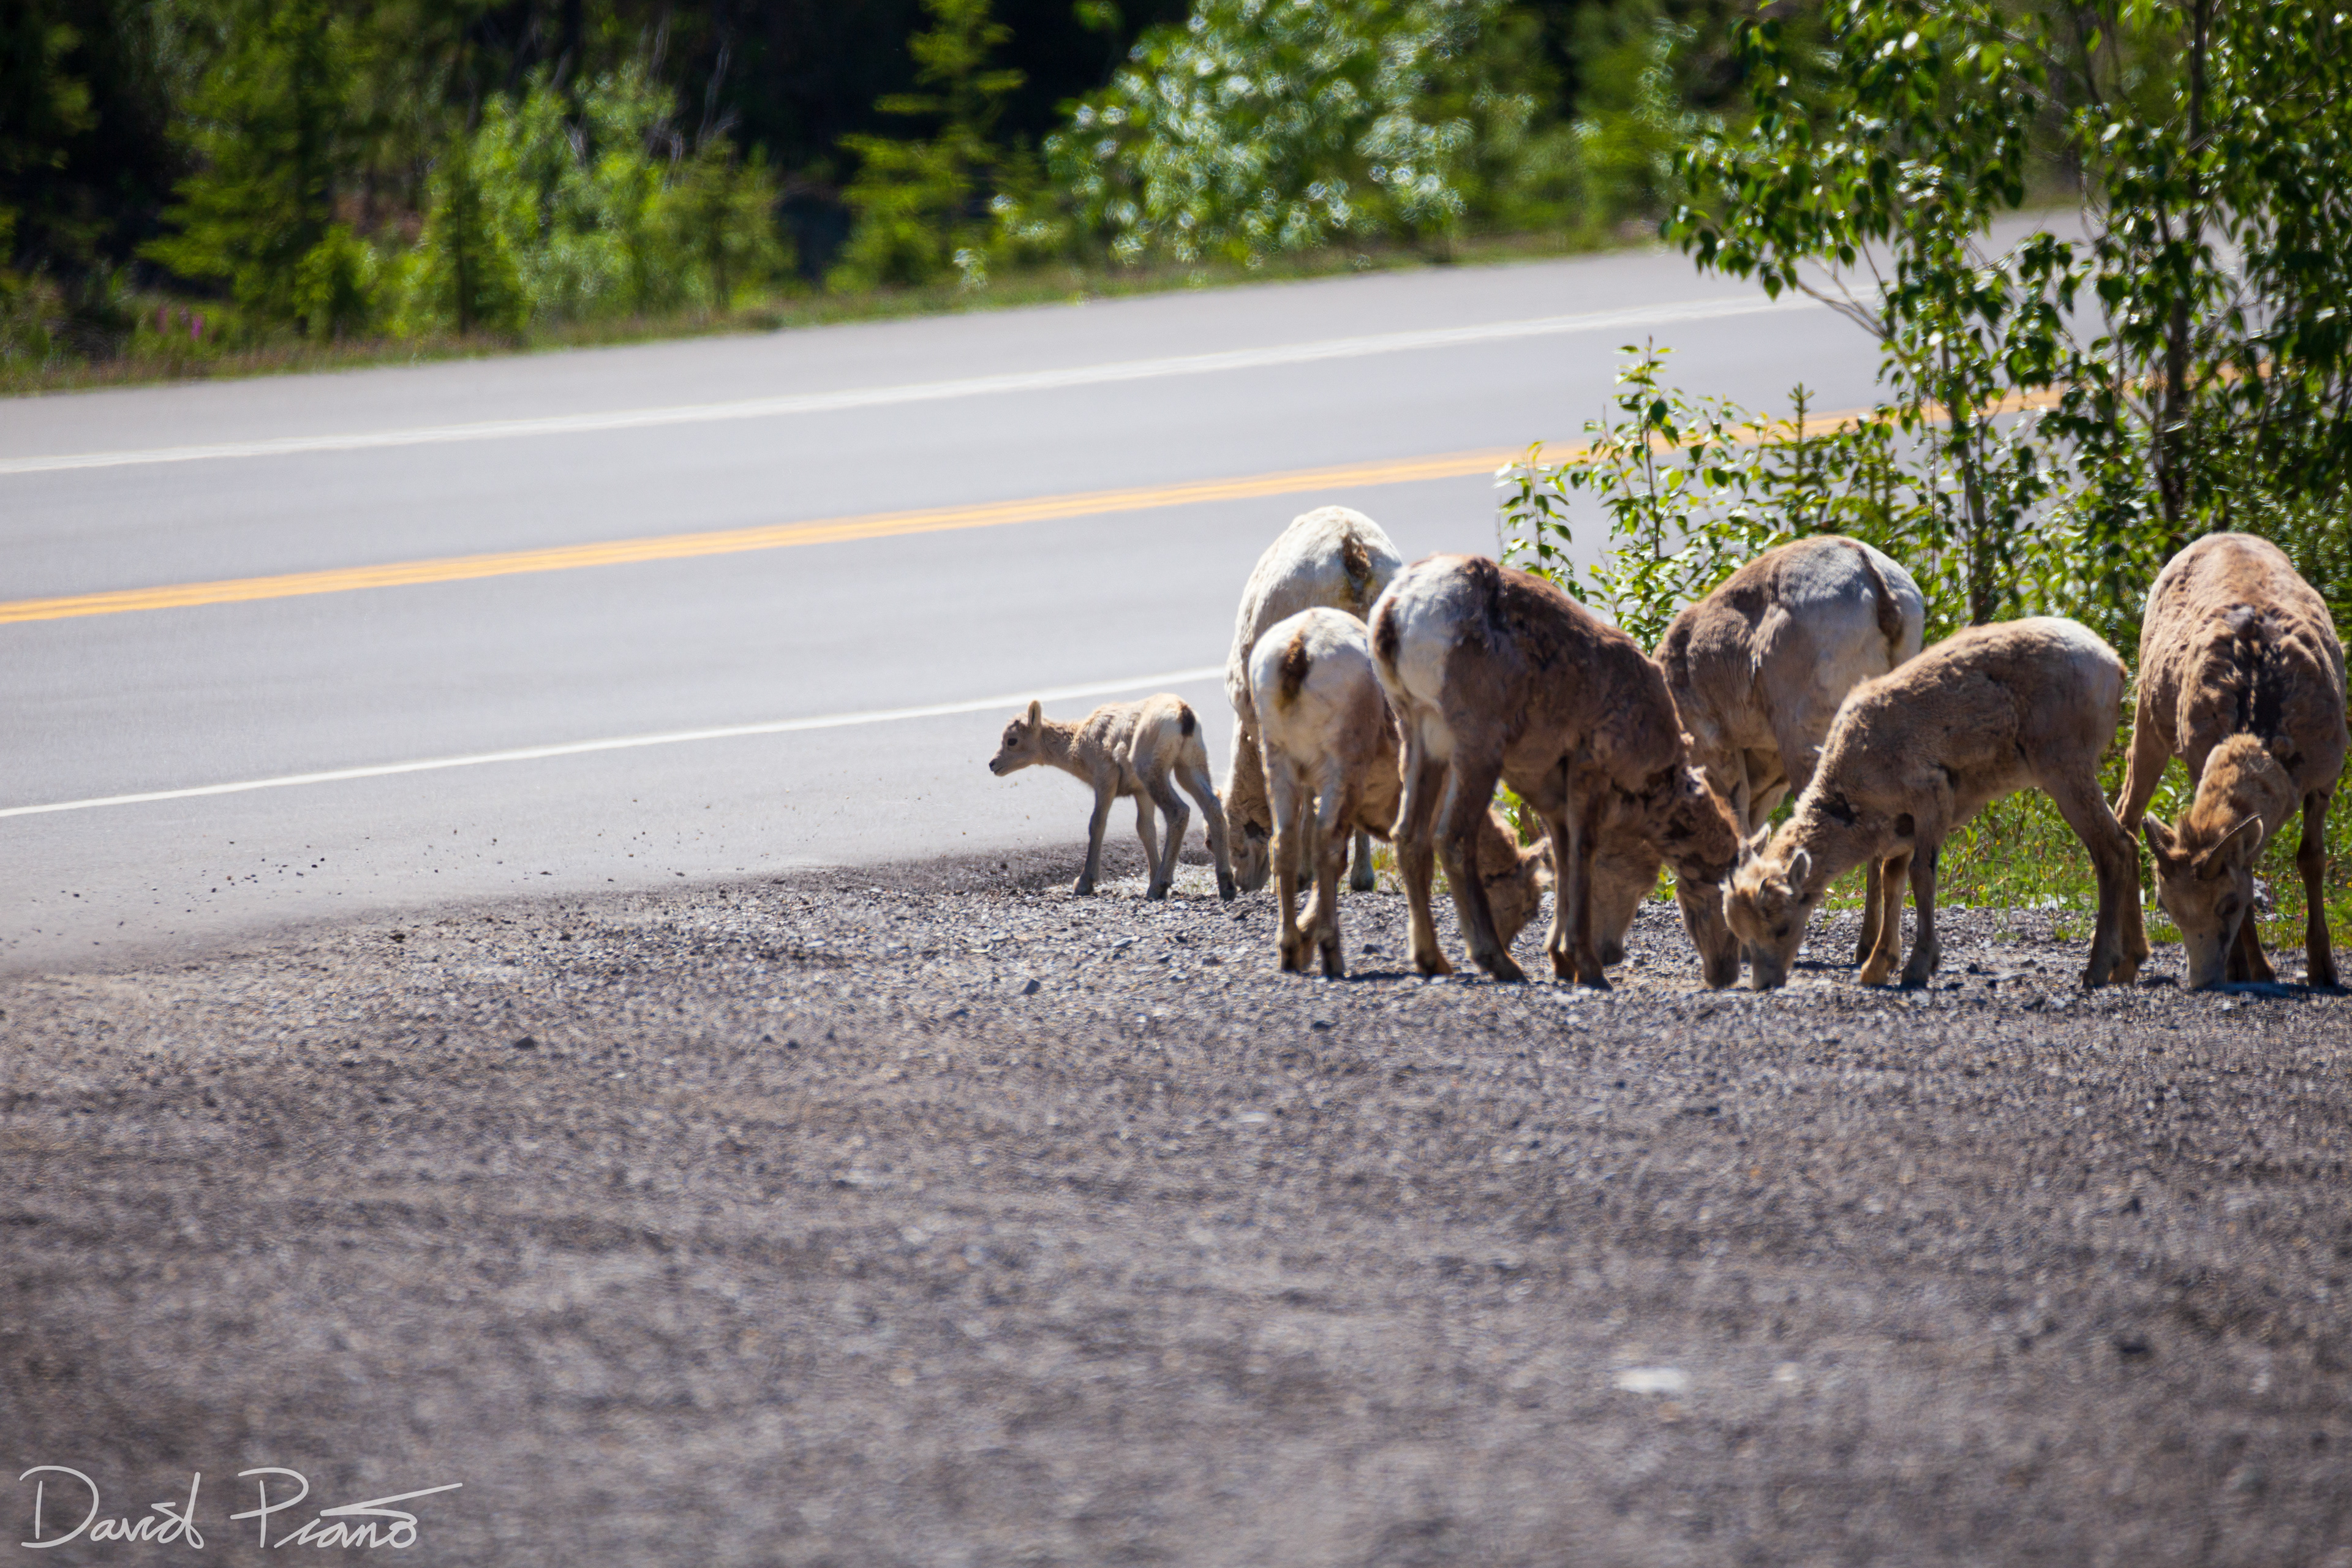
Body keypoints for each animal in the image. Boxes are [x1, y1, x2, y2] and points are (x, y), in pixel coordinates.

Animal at [989, 695, 1237, 901]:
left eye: (1012, 740)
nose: (993, 764)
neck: (1077, 747)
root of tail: (1184, 715)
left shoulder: (1105, 779)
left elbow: (1097, 824)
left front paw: (1084, 884)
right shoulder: (1141, 792)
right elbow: (1145, 829)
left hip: (1152, 771)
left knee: (1179, 811)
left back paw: (1159, 886)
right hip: (1189, 765)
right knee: (1213, 806)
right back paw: (1226, 886)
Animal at [1248, 607, 1551, 977]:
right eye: (1528, 908)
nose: (1505, 945)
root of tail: (1299, 649)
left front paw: (1305, 942)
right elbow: (1419, 859)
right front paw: (1435, 961)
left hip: (1278, 758)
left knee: (1284, 842)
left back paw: (1289, 950)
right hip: (1343, 762)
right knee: (1324, 841)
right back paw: (1333, 956)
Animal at [1369, 555, 1743, 986]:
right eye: (1726, 905)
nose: (1726, 973)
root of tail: (1396, 610)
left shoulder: (1552, 796)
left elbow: (1563, 861)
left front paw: (1562, 963)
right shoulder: (1589, 769)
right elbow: (1583, 855)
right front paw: (1588, 967)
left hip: (1419, 737)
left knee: (1409, 837)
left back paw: (1434, 962)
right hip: (1476, 747)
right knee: (1452, 839)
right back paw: (1500, 963)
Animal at [1724, 617, 2150, 990]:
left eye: (1781, 927)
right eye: (1740, 931)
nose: (1765, 985)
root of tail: (2114, 665)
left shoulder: (1931, 800)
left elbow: (1921, 877)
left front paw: (1917, 969)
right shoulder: (1901, 827)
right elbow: (1891, 881)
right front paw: (1877, 968)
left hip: (2065, 769)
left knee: (2112, 849)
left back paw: (2097, 971)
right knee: (2128, 844)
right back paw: (2127, 966)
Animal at [2113, 532, 2347, 989]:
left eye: (2228, 903)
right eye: (2167, 907)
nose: (2203, 980)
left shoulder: (2324, 780)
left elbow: (2310, 860)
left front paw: (2323, 971)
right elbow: (2252, 862)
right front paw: (2252, 971)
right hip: (2148, 717)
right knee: (2126, 814)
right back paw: (2125, 965)